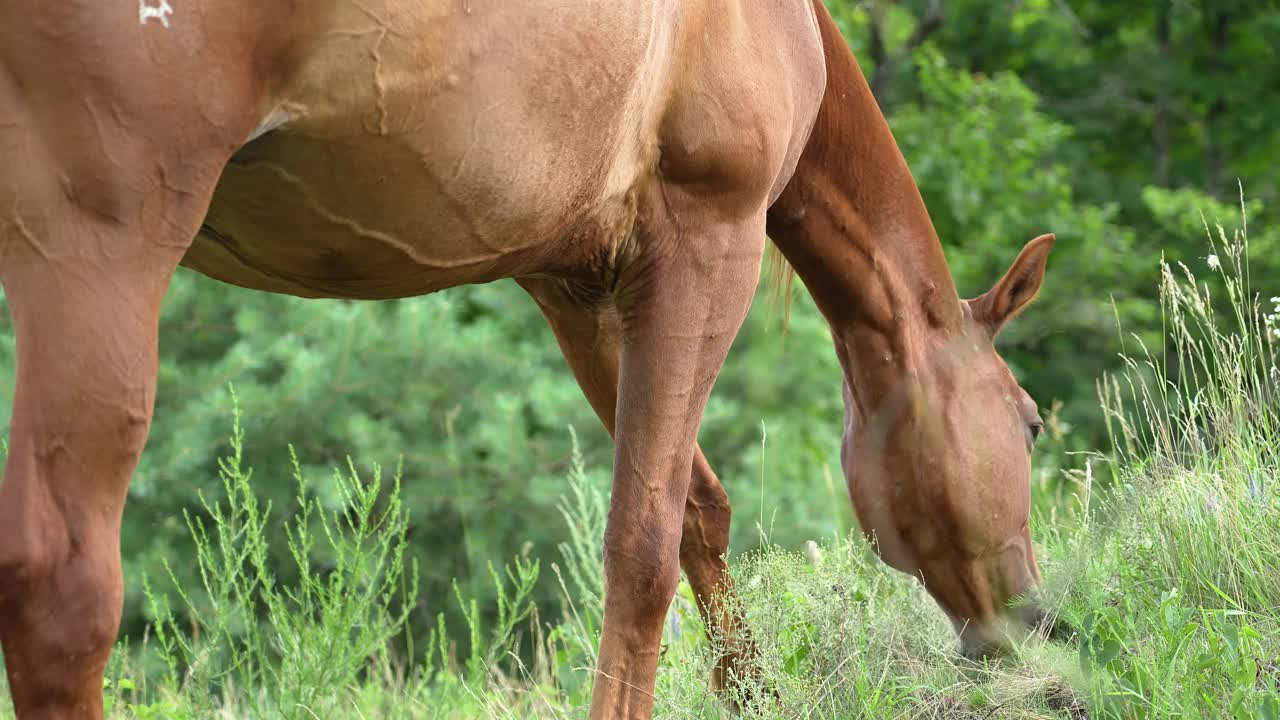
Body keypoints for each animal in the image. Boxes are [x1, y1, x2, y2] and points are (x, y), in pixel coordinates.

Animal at [0, 1, 1054, 717]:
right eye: (1034, 423)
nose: (1038, 625)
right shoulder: (710, 243)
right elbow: (643, 546)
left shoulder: (579, 292)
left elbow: (695, 515)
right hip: (98, 250)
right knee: (60, 586)